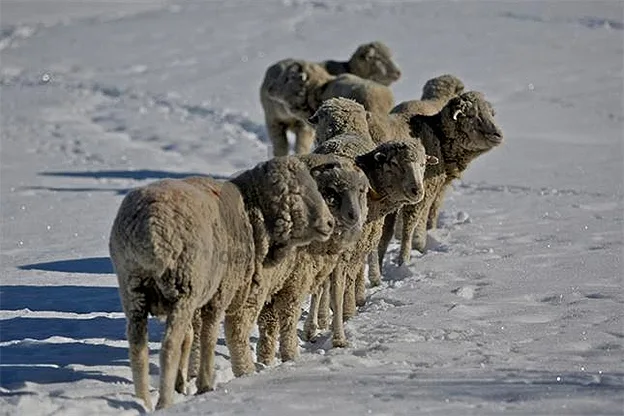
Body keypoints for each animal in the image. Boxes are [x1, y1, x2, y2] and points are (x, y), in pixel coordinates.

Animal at [108, 155, 334, 410]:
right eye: (297, 192)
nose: (330, 223)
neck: (249, 215)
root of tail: (150, 226)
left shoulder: (205, 295)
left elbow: (194, 337)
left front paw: (187, 380)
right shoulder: (221, 293)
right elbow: (213, 336)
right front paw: (213, 381)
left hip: (133, 290)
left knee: (138, 348)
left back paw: (143, 400)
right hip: (183, 289)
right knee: (169, 346)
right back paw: (164, 401)